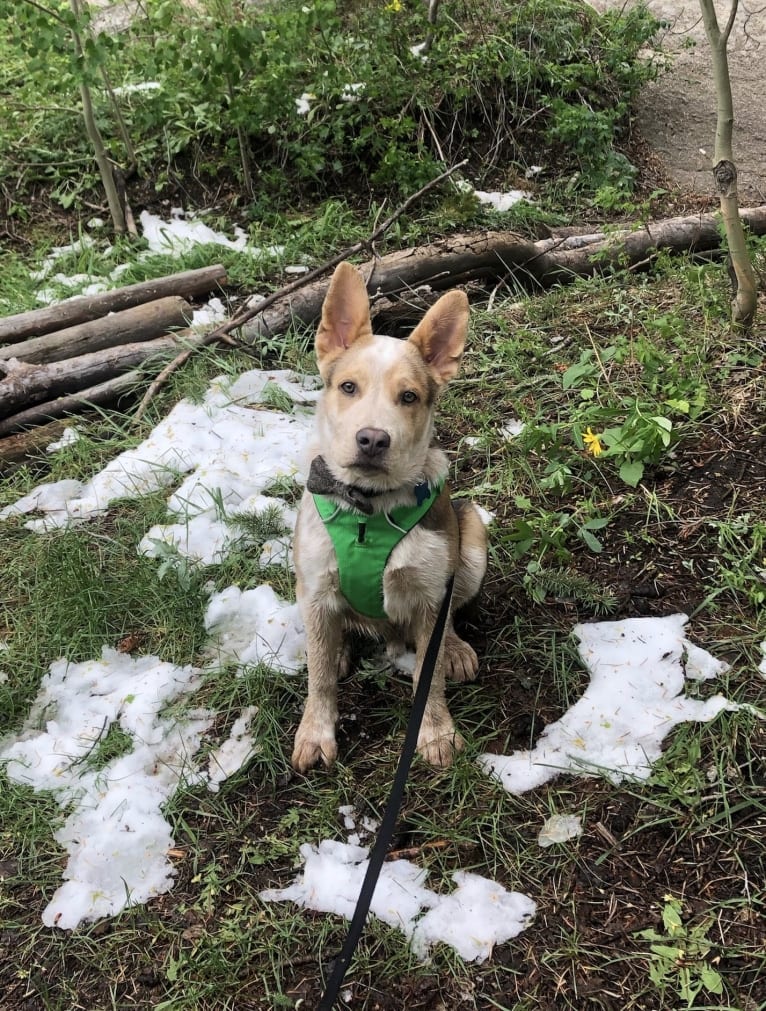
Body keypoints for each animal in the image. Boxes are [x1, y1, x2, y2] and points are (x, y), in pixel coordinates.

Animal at [291, 262, 489, 772]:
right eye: (348, 387)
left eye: (409, 397)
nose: (373, 439)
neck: (368, 509)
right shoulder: (315, 584)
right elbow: (319, 678)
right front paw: (315, 732)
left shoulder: (428, 593)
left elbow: (427, 673)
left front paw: (435, 731)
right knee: (328, 640)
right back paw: (338, 648)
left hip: (472, 535)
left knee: (450, 615)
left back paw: (454, 647)